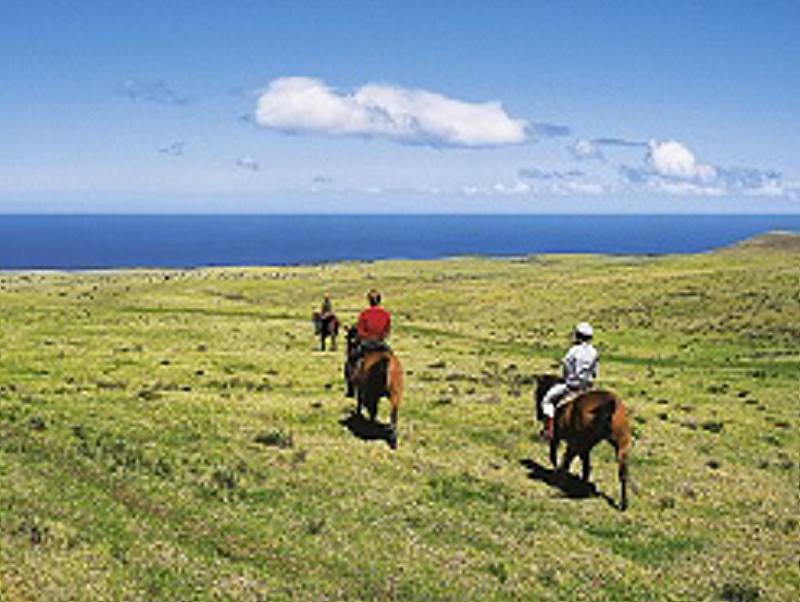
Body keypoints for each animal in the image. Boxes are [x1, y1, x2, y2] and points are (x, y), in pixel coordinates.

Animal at [536, 372, 632, 508]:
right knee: (622, 473)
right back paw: (623, 503)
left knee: (567, 460)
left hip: (579, 442)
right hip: (621, 445)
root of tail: (611, 404)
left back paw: (560, 482)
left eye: (538, 392)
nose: (538, 415)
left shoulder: (557, 437)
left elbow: (553, 455)